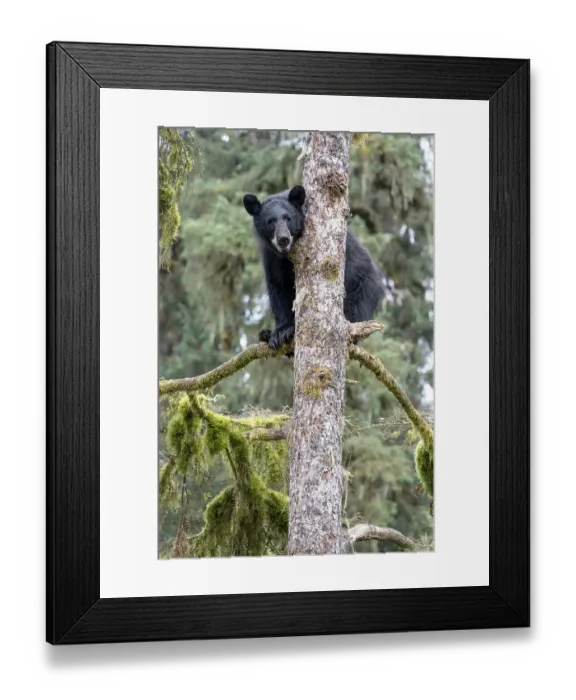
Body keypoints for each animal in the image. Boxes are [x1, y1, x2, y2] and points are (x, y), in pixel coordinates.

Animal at [243, 185, 385, 351]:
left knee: (354, 308)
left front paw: (287, 331)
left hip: (363, 287)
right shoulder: (272, 258)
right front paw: (279, 332)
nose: (283, 239)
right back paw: (265, 334)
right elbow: (278, 288)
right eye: (270, 221)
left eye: (288, 218)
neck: (287, 254)